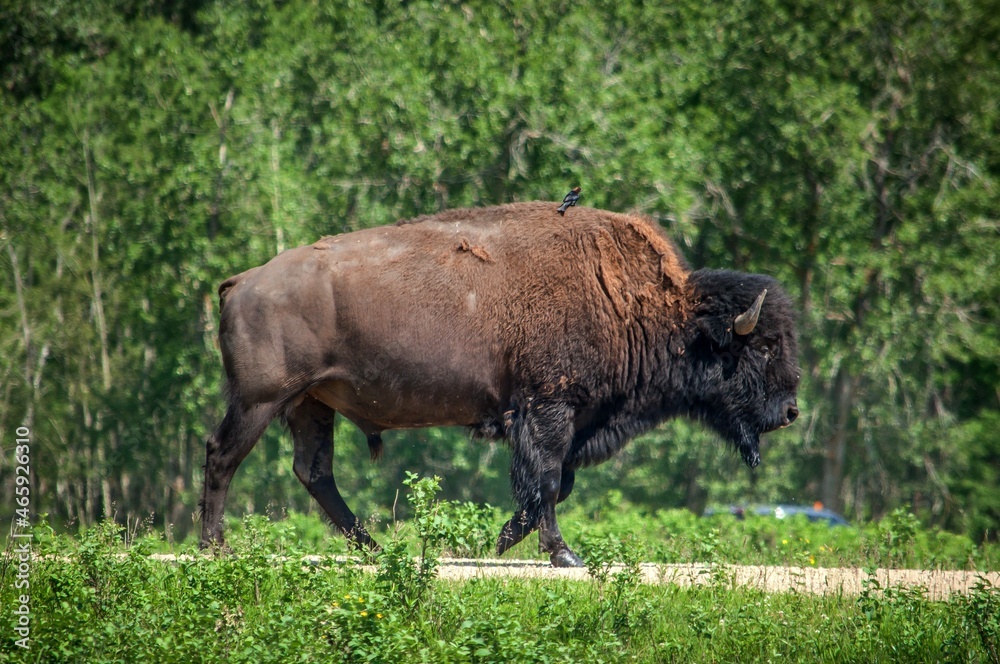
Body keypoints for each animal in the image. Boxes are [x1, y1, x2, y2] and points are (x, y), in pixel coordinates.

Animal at [199, 201, 800, 564]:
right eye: (764, 346)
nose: (792, 410)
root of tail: (242, 281)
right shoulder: (549, 408)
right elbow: (550, 480)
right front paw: (563, 554)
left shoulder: (562, 419)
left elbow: (553, 483)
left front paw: (503, 539)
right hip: (260, 400)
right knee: (222, 455)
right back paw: (213, 547)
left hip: (310, 403)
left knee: (314, 470)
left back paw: (371, 547)